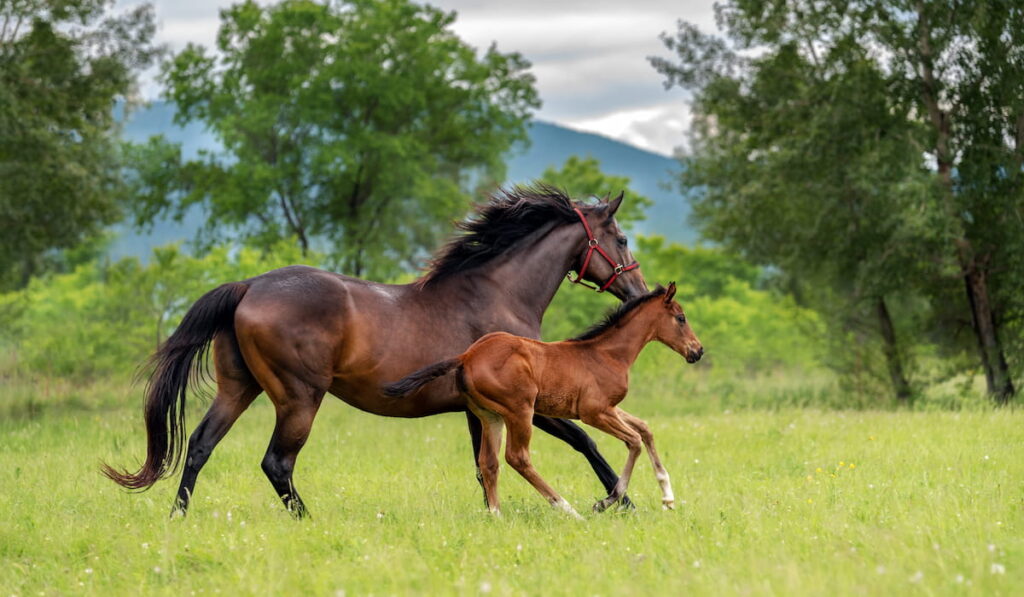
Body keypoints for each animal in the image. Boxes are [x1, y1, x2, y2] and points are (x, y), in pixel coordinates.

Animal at [105, 188, 647, 518]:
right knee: (277, 462)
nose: (639, 292)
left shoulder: (479, 411)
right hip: (299, 398)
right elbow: (586, 441)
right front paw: (621, 503)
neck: (497, 294)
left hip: (239, 389)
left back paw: (178, 516)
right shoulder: (525, 404)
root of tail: (249, 287)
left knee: (200, 445)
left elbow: (484, 467)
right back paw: (308, 519)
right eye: (621, 238)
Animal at [385, 284, 704, 518]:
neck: (607, 354)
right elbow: (634, 441)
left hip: (490, 416)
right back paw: (567, 509)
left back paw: (497, 515)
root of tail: (466, 356)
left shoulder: (610, 408)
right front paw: (605, 501)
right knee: (517, 457)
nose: (697, 351)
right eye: (681, 318)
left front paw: (668, 497)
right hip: (520, 411)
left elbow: (645, 429)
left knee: (488, 461)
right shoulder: (594, 412)